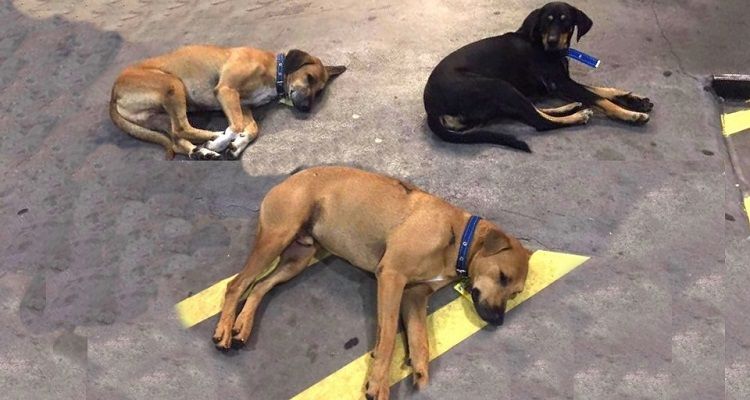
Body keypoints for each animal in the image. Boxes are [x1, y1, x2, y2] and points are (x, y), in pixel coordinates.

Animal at [110, 45, 348, 159]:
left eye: (319, 91)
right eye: (309, 78)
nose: (307, 108)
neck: (274, 71)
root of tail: (113, 92)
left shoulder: (243, 105)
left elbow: (253, 129)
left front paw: (237, 145)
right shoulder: (226, 91)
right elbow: (237, 126)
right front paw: (223, 141)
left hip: (159, 116)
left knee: (177, 137)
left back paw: (201, 152)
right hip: (172, 84)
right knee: (182, 128)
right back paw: (214, 138)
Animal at [212, 166, 532, 400]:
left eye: (515, 293)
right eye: (502, 277)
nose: (499, 320)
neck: (458, 238)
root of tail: (292, 176)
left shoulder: (414, 296)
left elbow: (420, 341)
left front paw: (419, 370)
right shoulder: (391, 276)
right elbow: (388, 335)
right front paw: (378, 382)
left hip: (297, 259)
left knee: (259, 287)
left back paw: (242, 325)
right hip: (276, 237)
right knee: (236, 285)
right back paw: (224, 329)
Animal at [426, 1, 656, 152]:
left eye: (565, 21)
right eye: (546, 21)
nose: (552, 41)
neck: (546, 47)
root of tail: (431, 107)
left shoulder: (564, 82)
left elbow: (601, 90)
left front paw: (635, 99)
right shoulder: (561, 83)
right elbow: (599, 98)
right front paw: (631, 114)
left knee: (532, 111)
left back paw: (570, 107)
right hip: (498, 86)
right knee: (540, 122)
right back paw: (577, 115)